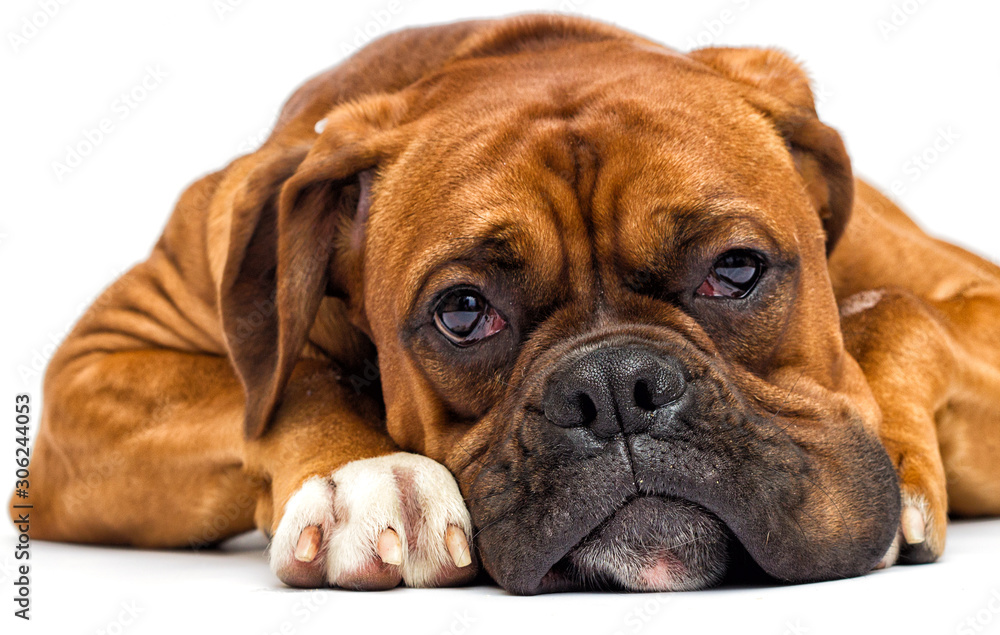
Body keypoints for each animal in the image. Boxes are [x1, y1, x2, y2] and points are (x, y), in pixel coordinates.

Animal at [15, 12, 1000, 592]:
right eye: (461, 311)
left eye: (737, 269)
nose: (617, 387)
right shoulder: (93, 372)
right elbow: (279, 386)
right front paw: (362, 474)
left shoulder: (976, 299)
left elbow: (899, 308)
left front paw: (905, 458)